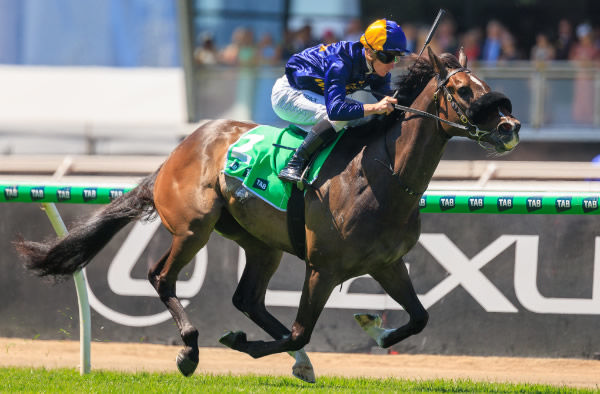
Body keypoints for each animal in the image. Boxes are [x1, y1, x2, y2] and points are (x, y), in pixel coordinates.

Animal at [15, 47, 520, 384]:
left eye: (483, 85)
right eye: (461, 89)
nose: (510, 125)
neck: (382, 176)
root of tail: (182, 146)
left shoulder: (388, 263)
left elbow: (419, 318)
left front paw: (374, 330)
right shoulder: (322, 267)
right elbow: (299, 331)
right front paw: (239, 344)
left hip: (259, 243)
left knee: (248, 299)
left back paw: (295, 361)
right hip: (194, 226)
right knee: (161, 277)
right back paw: (190, 350)